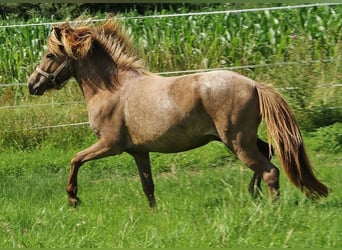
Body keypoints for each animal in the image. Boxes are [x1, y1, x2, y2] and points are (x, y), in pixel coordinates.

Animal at [27, 19, 328, 207]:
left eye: (50, 55)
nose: (32, 85)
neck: (112, 88)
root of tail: (255, 85)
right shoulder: (139, 151)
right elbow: (148, 186)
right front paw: (154, 214)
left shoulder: (109, 144)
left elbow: (75, 160)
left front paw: (73, 198)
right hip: (242, 140)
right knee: (268, 154)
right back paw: (252, 194)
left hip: (237, 142)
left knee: (270, 170)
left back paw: (271, 208)